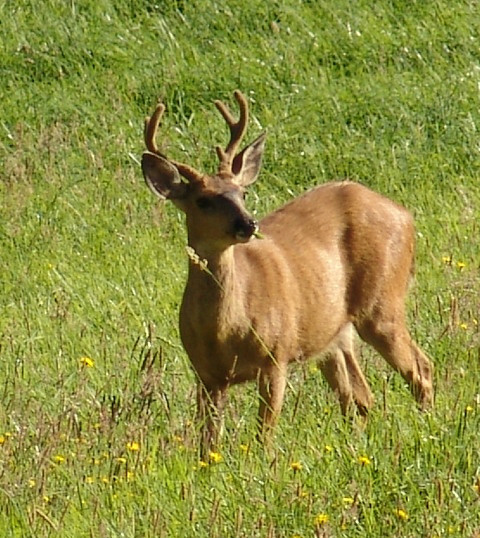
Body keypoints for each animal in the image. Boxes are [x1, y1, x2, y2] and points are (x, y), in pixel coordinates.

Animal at [140, 90, 436, 450]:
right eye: (203, 201)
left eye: (242, 192)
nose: (248, 223)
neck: (225, 331)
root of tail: (406, 215)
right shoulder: (206, 374)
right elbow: (208, 442)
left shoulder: (274, 357)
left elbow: (263, 435)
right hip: (334, 332)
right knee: (360, 396)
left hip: (382, 305)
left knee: (421, 369)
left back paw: (428, 428)